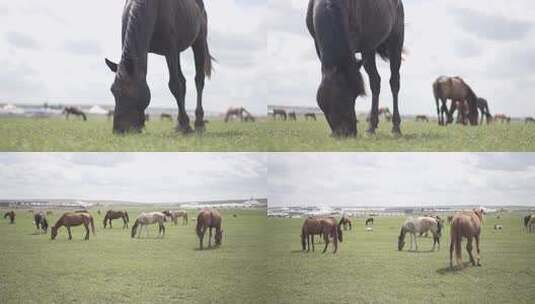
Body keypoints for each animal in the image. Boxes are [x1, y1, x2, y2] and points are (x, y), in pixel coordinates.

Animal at [104, 0, 214, 133]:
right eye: (112, 90)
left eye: (129, 92)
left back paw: (199, 123)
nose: (119, 130)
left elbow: (175, 86)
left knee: (198, 80)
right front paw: (183, 124)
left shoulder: (170, 50)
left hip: (199, 41)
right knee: (183, 81)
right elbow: (179, 84)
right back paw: (180, 124)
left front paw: (185, 125)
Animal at [308, 0, 404, 137]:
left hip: (395, 43)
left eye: (356, 94)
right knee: (375, 81)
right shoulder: (317, 42)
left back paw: (396, 128)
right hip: (369, 48)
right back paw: (371, 128)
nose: (348, 132)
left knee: (394, 82)